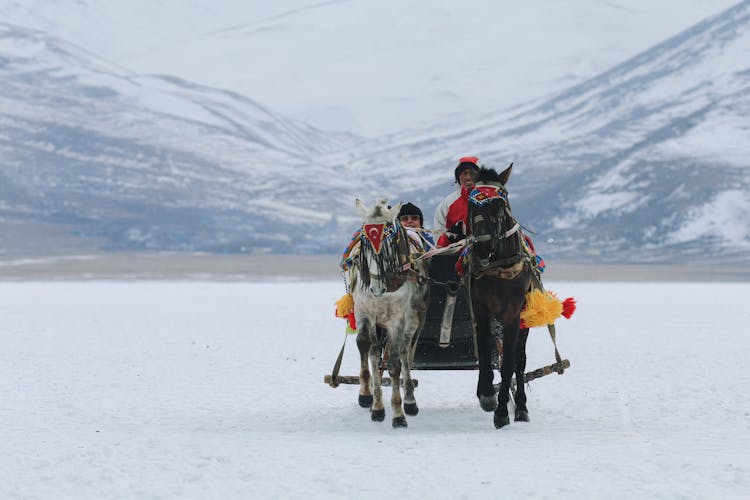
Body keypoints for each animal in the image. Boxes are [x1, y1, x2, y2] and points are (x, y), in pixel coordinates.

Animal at [352, 198, 428, 426]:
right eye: (364, 241)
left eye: (388, 241)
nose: (376, 288)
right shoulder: (364, 312)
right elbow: (367, 349)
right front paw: (371, 400)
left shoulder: (397, 320)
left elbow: (394, 363)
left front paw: (398, 413)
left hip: (413, 319)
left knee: (404, 352)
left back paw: (410, 401)